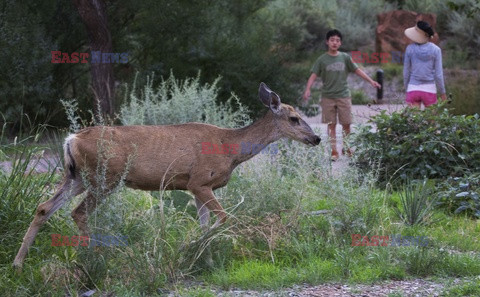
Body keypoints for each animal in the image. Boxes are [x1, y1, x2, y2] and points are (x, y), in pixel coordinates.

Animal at [13, 82, 320, 270]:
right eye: (294, 118)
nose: (316, 138)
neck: (229, 148)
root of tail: (70, 139)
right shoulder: (200, 180)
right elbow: (225, 219)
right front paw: (192, 249)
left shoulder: (197, 187)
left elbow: (205, 225)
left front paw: (203, 258)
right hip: (105, 178)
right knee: (78, 213)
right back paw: (97, 257)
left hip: (76, 177)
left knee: (45, 207)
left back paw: (18, 263)